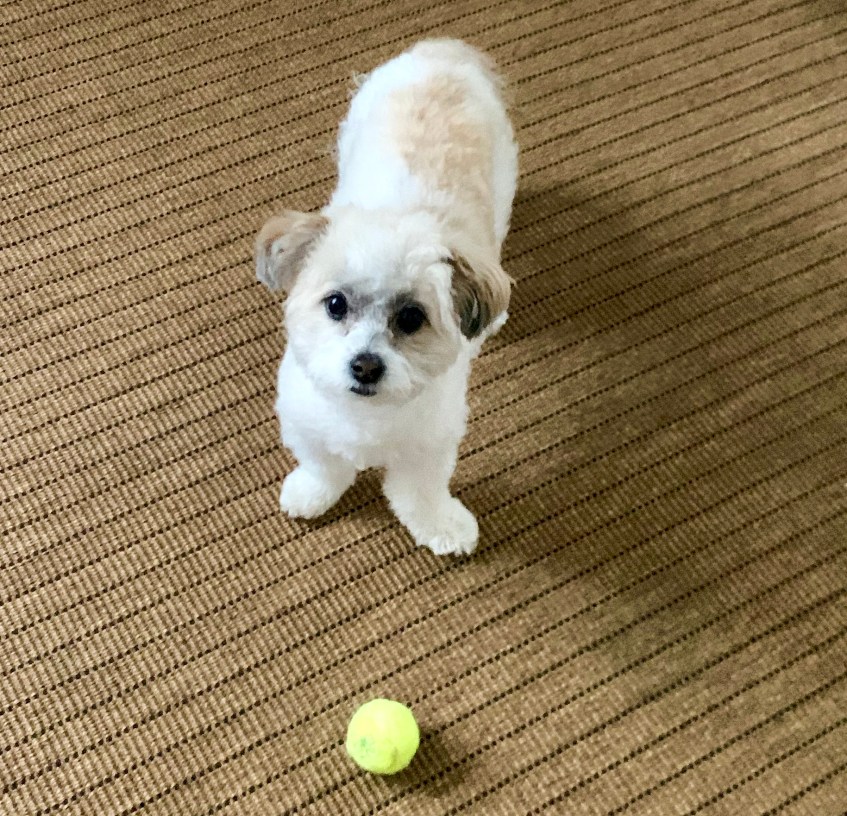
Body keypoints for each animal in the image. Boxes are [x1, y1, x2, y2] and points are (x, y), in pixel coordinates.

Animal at [255, 39, 518, 555]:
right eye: (336, 304)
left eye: (412, 318)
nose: (365, 365)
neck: (366, 416)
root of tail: (443, 54)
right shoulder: (306, 420)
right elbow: (323, 465)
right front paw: (312, 492)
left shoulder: (428, 445)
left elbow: (419, 493)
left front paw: (441, 525)